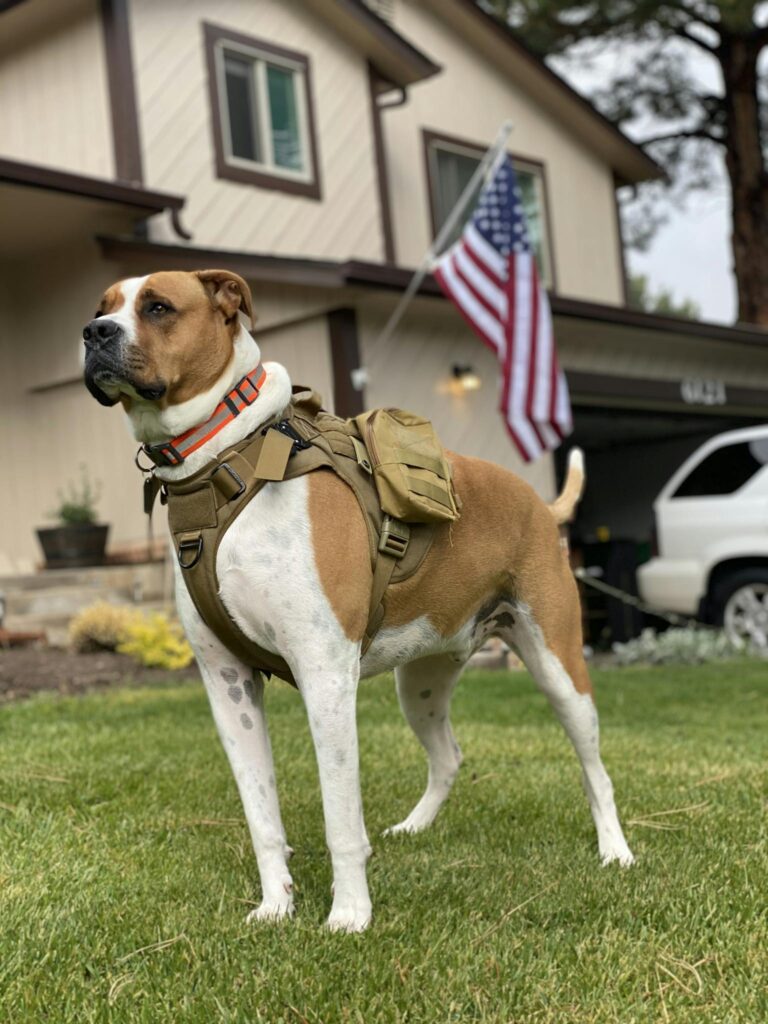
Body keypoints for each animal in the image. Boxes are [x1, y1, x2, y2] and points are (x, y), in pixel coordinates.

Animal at [82, 268, 638, 933]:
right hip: (421, 684)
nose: (94, 333)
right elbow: (261, 814)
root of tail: (539, 501)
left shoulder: (324, 679)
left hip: (560, 669)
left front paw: (349, 915)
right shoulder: (229, 687)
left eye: (159, 307)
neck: (222, 460)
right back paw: (414, 827)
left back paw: (615, 851)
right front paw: (276, 906)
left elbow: (340, 818)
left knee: (596, 770)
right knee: (448, 756)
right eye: (102, 307)